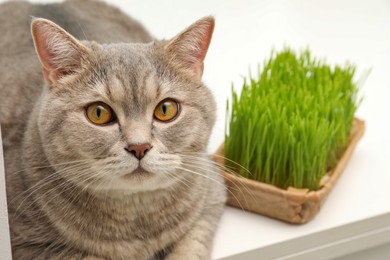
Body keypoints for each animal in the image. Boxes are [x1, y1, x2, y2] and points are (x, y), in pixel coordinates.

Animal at [0, 0, 227, 258]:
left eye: (166, 109)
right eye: (99, 113)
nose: (139, 147)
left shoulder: (212, 195)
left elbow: (191, 247)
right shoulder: (25, 243)